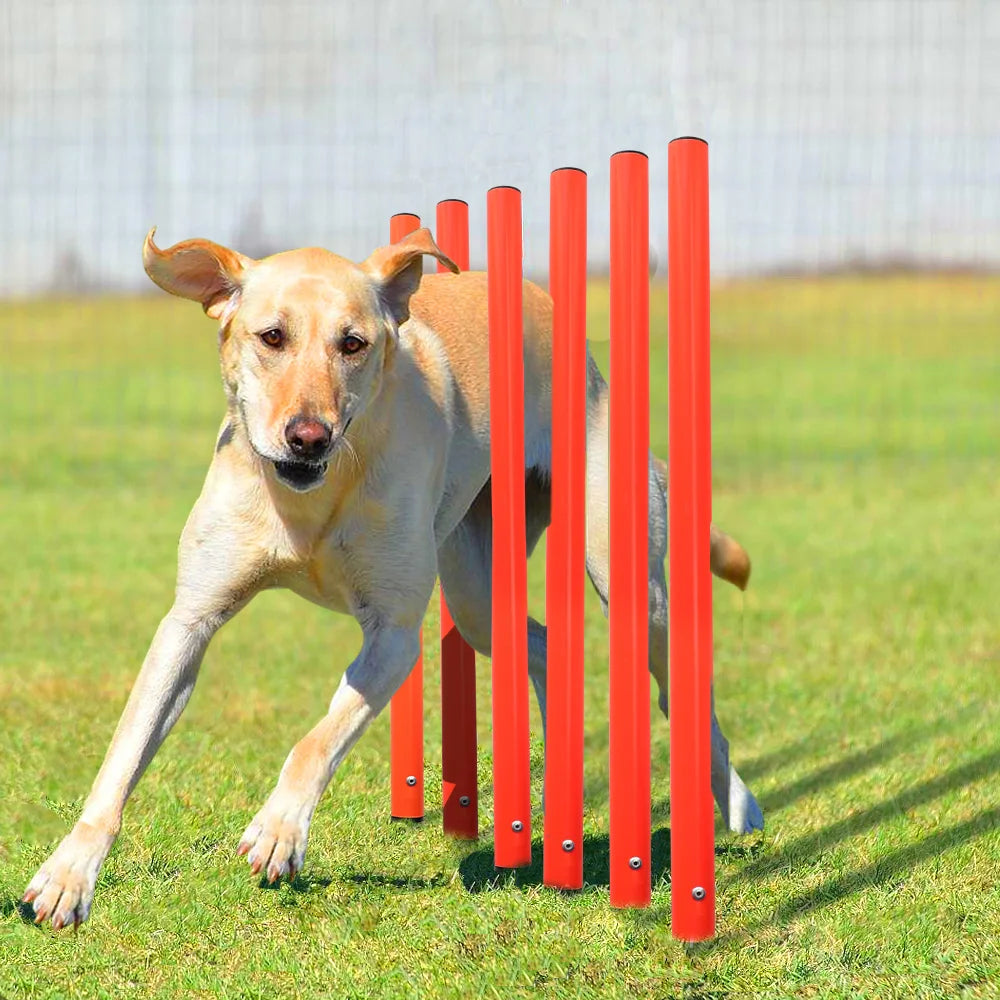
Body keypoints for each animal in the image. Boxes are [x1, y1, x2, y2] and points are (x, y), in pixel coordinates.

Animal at [23, 227, 760, 928]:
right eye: (271, 337)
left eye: (353, 343)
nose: (309, 436)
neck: (311, 498)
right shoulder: (190, 620)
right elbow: (123, 756)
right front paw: (67, 876)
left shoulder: (394, 634)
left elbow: (320, 736)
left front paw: (278, 829)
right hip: (475, 591)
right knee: (543, 644)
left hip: (626, 576)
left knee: (681, 694)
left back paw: (738, 806)